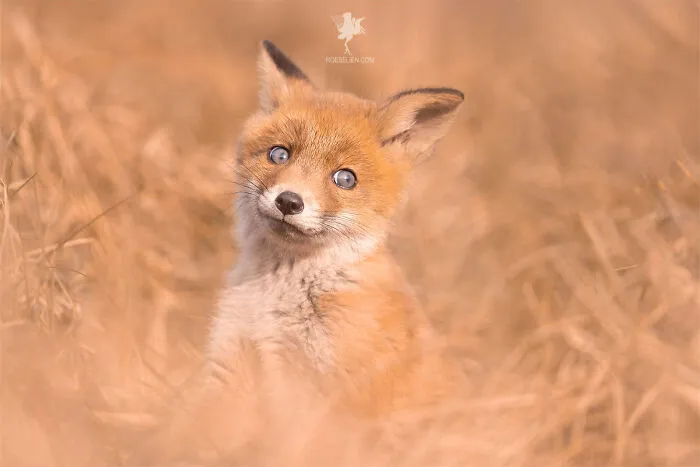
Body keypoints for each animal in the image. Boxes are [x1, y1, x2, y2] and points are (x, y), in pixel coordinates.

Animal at [136, 40, 468, 464]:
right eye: (280, 154)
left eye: (345, 178)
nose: (289, 201)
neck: (278, 298)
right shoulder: (232, 360)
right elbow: (188, 434)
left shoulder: (325, 394)